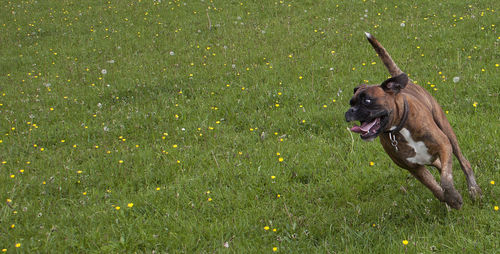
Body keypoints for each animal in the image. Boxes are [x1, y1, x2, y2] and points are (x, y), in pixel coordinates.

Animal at [346, 32, 482, 209]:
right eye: (351, 103)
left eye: (367, 101)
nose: (350, 111)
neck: (398, 128)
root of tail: (407, 82)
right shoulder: (414, 168)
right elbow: (434, 187)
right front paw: (450, 200)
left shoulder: (444, 145)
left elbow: (445, 180)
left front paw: (453, 197)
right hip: (430, 157)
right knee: (440, 167)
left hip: (448, 133)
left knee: (463, 162)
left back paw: (474, 190)